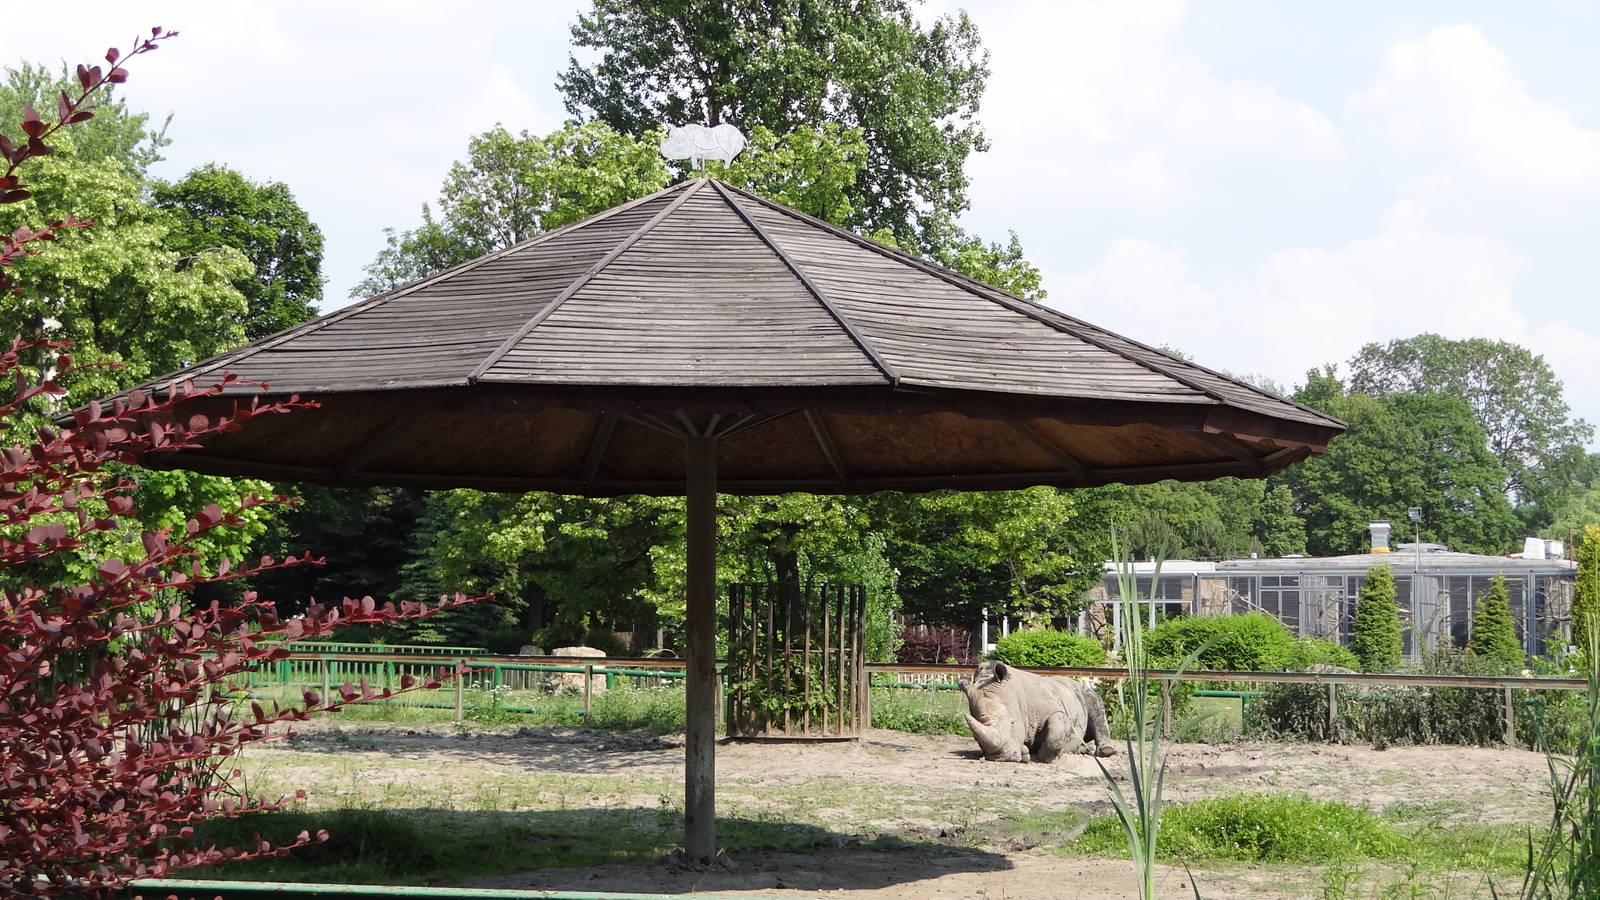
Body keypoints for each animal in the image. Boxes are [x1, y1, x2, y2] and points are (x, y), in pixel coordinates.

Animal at [960, 661, 1117, 763]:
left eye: (1012, 724)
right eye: (975, 737)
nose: (1002, 758)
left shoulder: (1055, 709)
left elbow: (1056, 732)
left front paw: (1044, 757)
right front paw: (1025, 753)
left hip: (1081, 690)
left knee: (1095, 703)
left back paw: (1105, 751)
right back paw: (1082, 750)